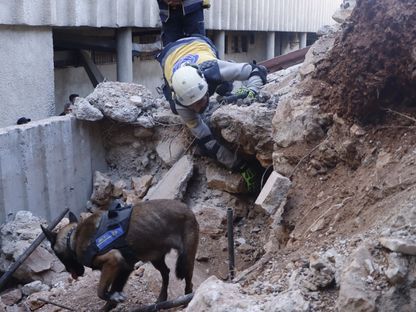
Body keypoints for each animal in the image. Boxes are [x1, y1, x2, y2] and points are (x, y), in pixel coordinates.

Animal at [41, 199, 200, 310]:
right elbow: (111, 296)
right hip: (156, 257)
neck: (72, 238)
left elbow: (101, 292)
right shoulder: (124, 268)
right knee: (166, 273)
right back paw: (162, 298)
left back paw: (186, 301)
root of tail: (188, 210)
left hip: (186, 258)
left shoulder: (113, 261)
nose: (71, 272)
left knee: (189, 281)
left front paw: (112, 298)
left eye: (57, 254)